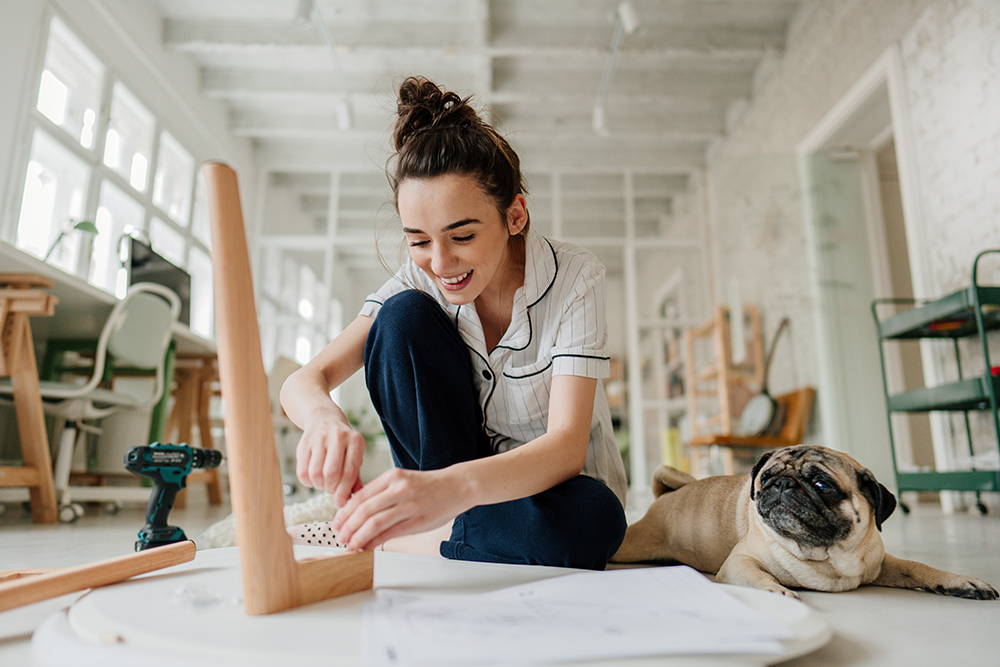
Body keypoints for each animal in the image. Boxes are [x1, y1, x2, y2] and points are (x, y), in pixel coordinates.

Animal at [612, 446, 996, 596]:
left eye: (822, 485)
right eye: (765, 478)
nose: (782, 485)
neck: (828, 556)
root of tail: (666, 494)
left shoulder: (880, 563)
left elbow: (918, 567)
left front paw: (961, 582)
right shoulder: (739, 563)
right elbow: (762, 578)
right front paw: (780, 594)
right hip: (630, 545)